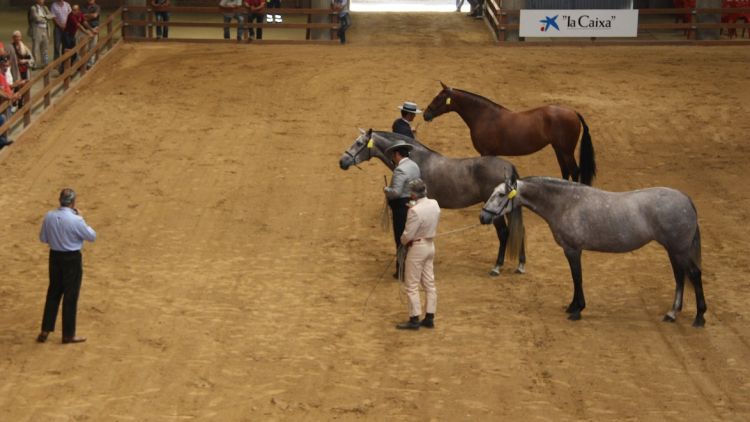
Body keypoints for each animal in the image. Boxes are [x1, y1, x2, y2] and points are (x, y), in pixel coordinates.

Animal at [342, 129, 528, 276]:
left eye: (359, 143)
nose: (342, 161)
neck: (417, 160)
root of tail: (509, 166)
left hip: (495, 212)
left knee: (504, 233)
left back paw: (497, 267)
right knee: (519, 231)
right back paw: (520, 265)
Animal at [426, 83, 596, 185]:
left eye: (439, 98)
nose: (426, 114)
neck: (484, 116)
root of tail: (573, 112)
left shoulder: (486, 153)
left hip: (566, 151)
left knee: (574, 170)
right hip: (558, 148)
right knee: (565, 170)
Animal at [478, 175, 708, 326]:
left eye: (500, 194)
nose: (483, 217)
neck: (565, 204)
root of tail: (686, 199)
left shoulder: (573, 250)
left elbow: (577, 278)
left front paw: (577, 310)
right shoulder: (571, 250)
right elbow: (575, 279)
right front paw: (572, 306)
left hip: (679, 250)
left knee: (694, 274)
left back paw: (699, 317)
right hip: (673, 251)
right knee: (680, 277)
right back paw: (672, 313)